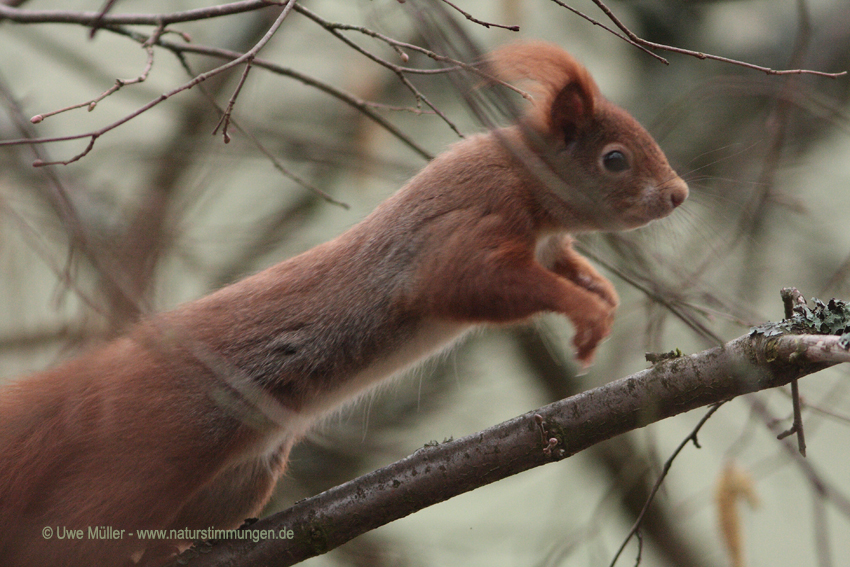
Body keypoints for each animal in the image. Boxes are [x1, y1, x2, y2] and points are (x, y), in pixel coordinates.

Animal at [0, 42, 684, 564]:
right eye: (614, 160)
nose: (677, 195)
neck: (527, 179)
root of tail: (86, 387)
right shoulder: (469, 217)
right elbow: (466, 281)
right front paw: (586, 312)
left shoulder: (548, 243)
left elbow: (564, 265)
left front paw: (602, 298)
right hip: (126, 472)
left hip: (229, 488)